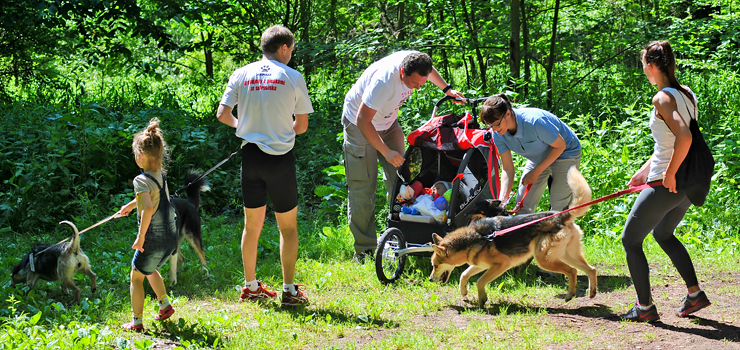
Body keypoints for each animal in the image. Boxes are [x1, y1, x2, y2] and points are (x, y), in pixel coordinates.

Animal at [428, 167, 596, 306]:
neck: (477, 237)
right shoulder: (480, 265)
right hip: (566, 255)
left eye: (435, 265)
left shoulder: (501, 265)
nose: (429, 279)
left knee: (572, 271)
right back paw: (591, 293)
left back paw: (570, 294)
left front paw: (482, 299)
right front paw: (464, 292)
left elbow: (480, 282)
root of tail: (561, 216)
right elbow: (464, 275)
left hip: (545, 260)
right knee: (590, 269)